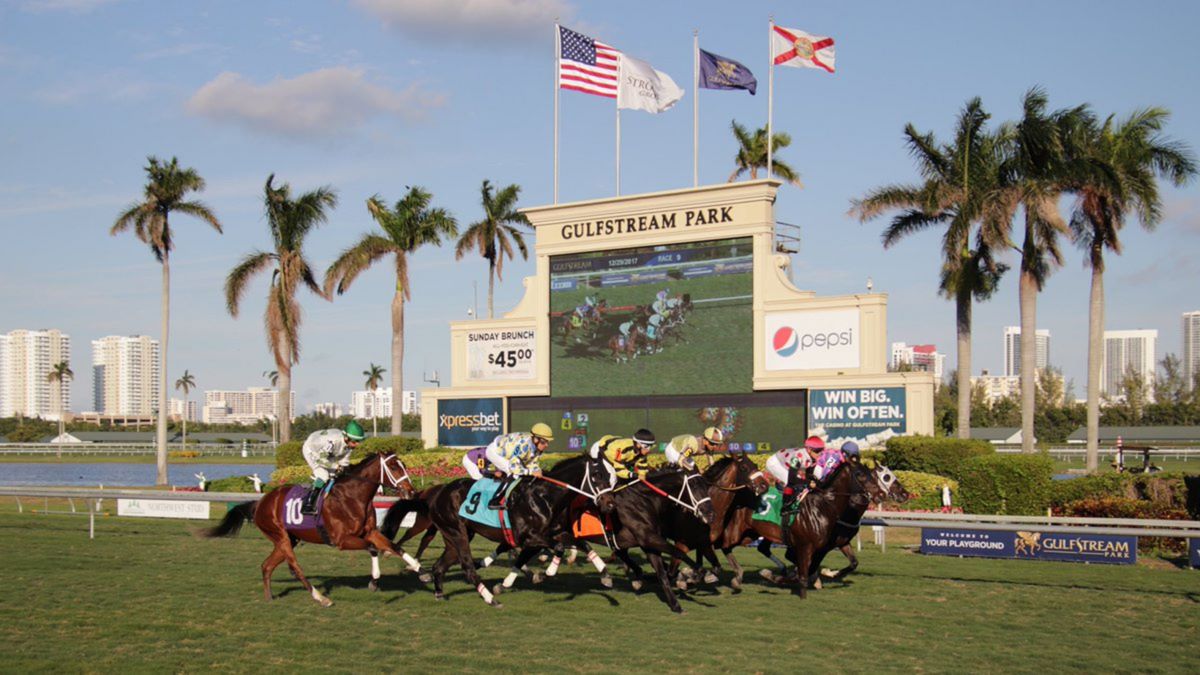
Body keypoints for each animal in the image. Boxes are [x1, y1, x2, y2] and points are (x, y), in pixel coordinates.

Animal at [199, 451, 420, 605]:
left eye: (403, 465)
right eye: (393, 466)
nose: (411, 492)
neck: (352, 497)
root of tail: (260, 502)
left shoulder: (370, 532)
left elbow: (393, 546)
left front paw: (419, 569)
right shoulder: (341, 540)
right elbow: (373, 547)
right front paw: (374, 581)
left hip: (289, 539)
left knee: (266, 566)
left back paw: (269, 597)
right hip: (281, 537)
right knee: (295, 566)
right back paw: (320, 597)